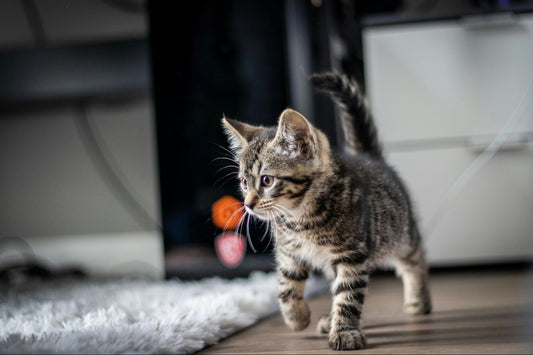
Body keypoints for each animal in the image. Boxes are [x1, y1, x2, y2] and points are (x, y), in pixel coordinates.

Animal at [222, 71, 430, 350]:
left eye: (266, 180)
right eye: (244, 182)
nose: (248, 204)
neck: (300, 219)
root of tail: (371, 158)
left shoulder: (352, 256)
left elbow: (349, 296)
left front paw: (345, 332)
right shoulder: (289, 253)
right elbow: (286, 287)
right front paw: (297, 317)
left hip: (400, 231)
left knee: (414, 258)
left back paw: (419, 299)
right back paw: (328, 318)